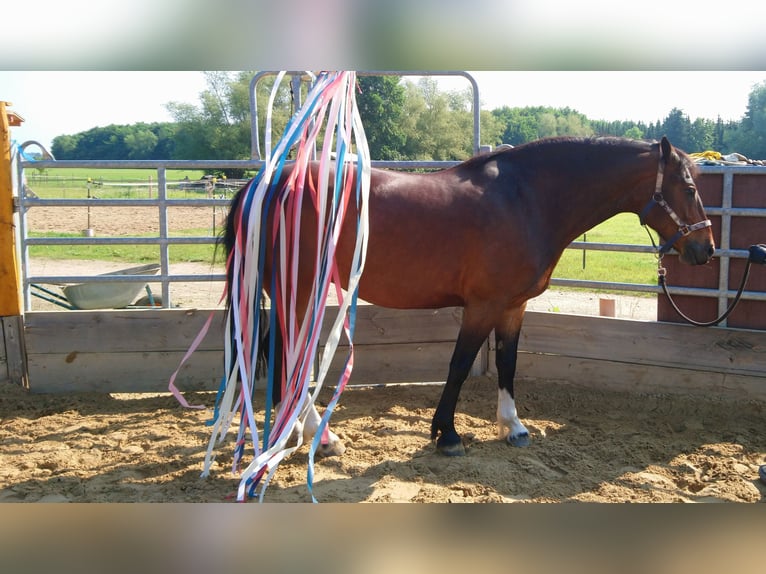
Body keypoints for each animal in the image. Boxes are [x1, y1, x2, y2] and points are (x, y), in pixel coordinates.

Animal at [225, 136, 716, 460]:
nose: (706, 249)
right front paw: (446, 433)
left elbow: (508, 362)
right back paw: (320, 436)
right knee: (288, 359)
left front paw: (513, 427)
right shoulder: (482, 305)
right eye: (690, 189)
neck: (526, 199)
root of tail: (264, 183)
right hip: (300, 292)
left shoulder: (514, 306)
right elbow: (460, 365)